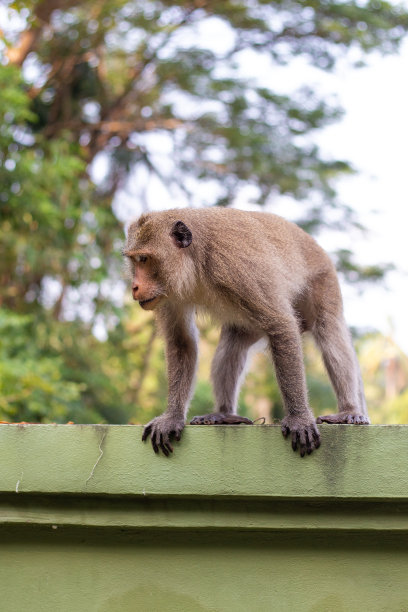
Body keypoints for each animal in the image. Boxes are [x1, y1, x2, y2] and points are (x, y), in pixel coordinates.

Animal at [122, 208, 368, 456]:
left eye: (144, 259)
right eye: (134, 260)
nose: (134, 286)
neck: (197, 260)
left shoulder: (235, 268)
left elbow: (281, 324)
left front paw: (299, 418)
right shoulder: (168, 293)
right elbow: (181, 342)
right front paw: (172, 417)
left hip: (323, 278)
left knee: (330, 331)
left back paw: (349, 410)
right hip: (248, 324)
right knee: (232, 346)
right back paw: (224, 414)